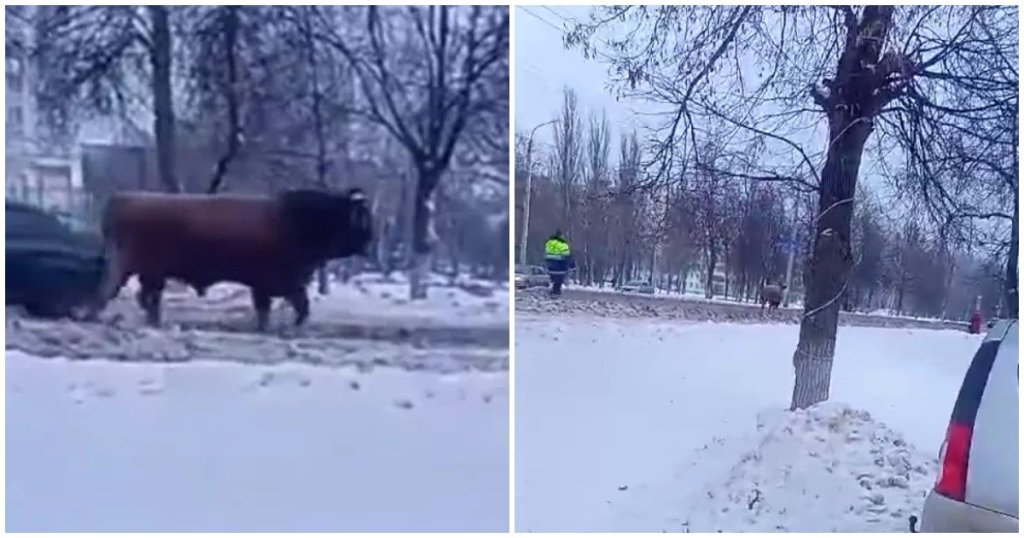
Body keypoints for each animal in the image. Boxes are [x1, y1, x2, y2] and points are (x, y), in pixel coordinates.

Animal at [96, 188, 372, 332]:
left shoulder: (277, 284)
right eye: (362, 219)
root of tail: (121, 199)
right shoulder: (277, 282)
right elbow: (292, 306)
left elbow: (288, 306)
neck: (298, 220)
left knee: (146, 298)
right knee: (126, 294)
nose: (370, 242)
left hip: (149, 273)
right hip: (137, 269)